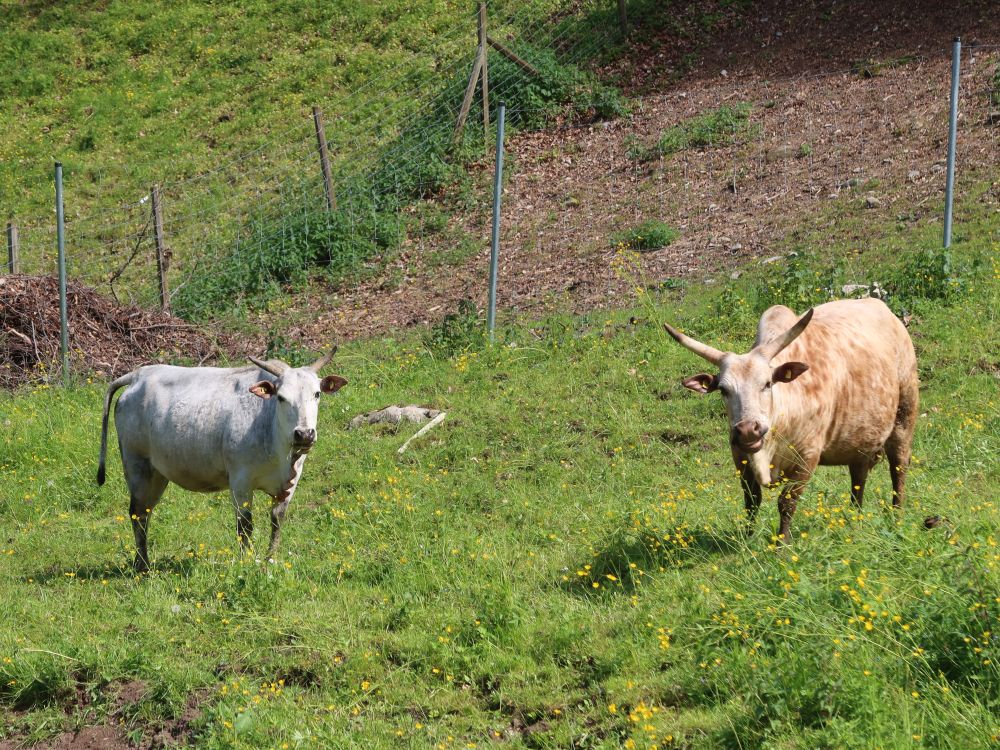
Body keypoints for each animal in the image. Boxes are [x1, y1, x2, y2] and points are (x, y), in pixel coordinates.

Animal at [97, 350, 348, 572]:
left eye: (317, 394)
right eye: (281, 397)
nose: (304, 434)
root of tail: (138, 376)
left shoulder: (291, 482)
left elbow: (277, 520)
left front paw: (270, 561)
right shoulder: (240, 481)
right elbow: (245, 526)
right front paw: (247, 562)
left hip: (157, 474)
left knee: (146, 512)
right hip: (136, 464)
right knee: (137, 513)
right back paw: (142, 566)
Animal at [668, 298, 916, 540]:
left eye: (768, 383)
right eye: (723, 390)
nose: (748, 430)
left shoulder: (807, 457)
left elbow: (786, 503)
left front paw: (782, 543)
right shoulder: (739, 454)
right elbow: (751, 500)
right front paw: (747, 539)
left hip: (904, 415)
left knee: (898, 468)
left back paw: (896, 518)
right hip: (860, 440)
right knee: (859, 479)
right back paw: (856, 521)